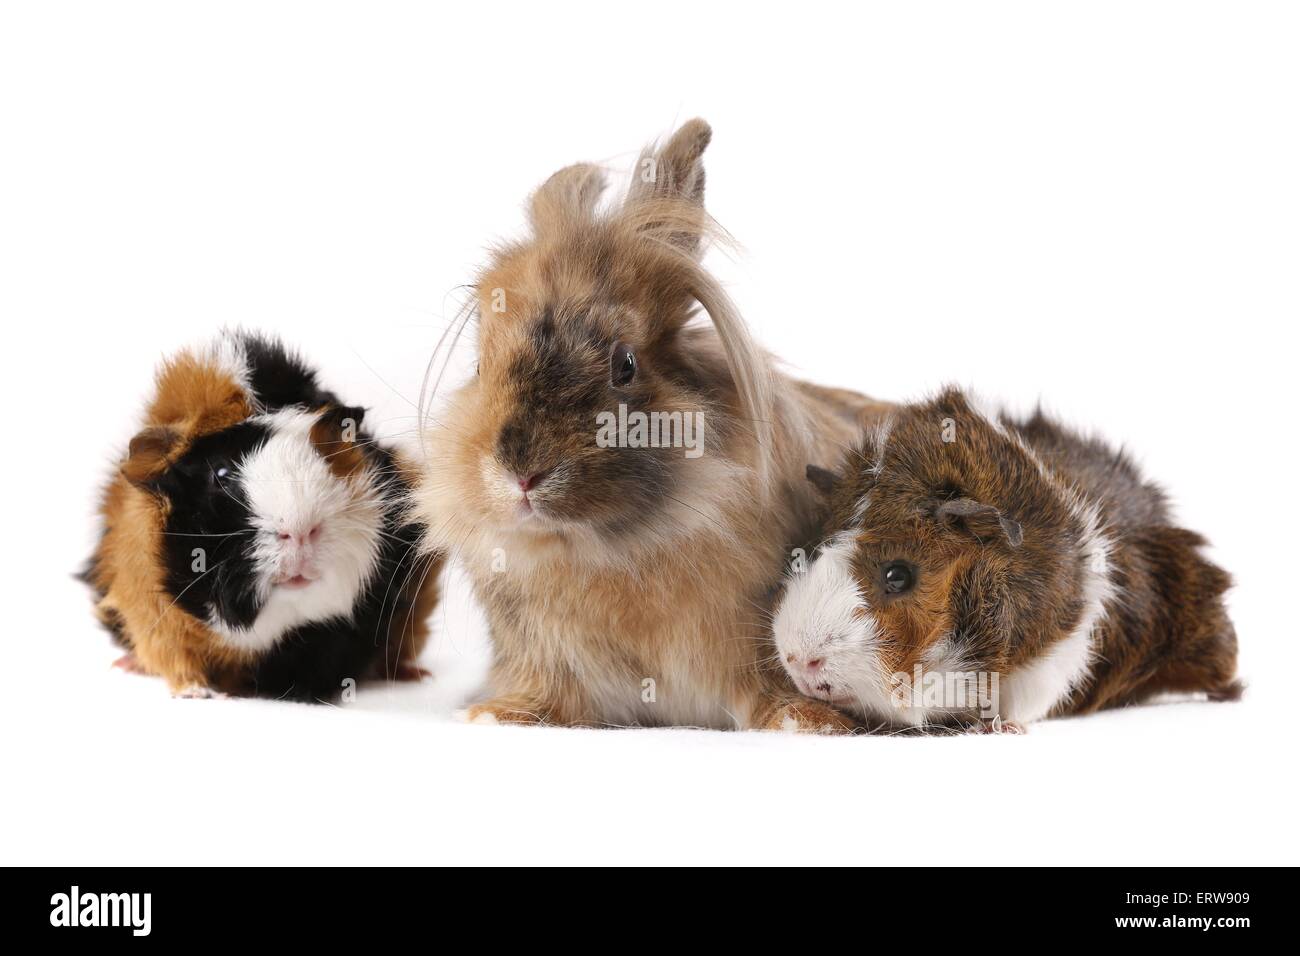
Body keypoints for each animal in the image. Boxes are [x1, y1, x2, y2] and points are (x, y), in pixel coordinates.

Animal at [84, 330, 442, 701]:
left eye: (325, 458)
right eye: (221, 473)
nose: (300, 530)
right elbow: (174, 656)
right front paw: (197, 693)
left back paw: (415, 675)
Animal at [413, 119, 894, 731]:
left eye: (625, 364)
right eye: (479, 366)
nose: (522, 474)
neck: (607, 551)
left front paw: (805, 720)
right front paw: (497, 714)